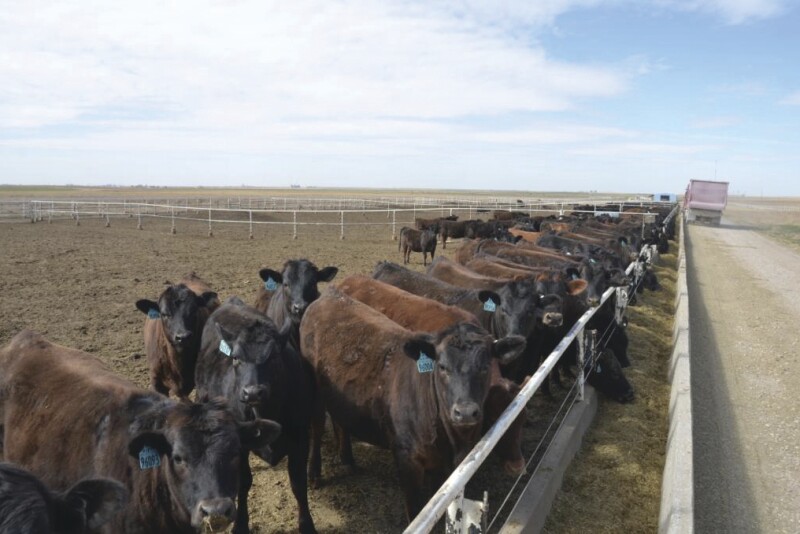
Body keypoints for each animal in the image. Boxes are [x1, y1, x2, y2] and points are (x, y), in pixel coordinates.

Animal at [195, 298, 317, 534]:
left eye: (274, 356)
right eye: (235, 358)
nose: (252, 392)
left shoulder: (301, 438)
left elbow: (298, 484)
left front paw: (307, 525)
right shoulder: (240, 444)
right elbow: (243, 483)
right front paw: (240, 524)